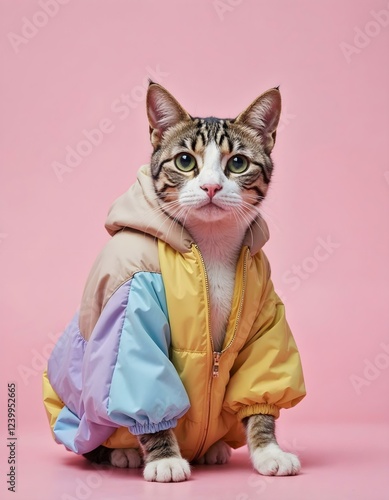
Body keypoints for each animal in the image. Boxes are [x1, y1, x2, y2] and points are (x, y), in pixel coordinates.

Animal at [80, 82, 304, 480]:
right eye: (185, 161)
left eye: (237, 163)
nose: (212, 187)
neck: (210, 246)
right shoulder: (134, 298)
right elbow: (145, 374)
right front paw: (164, 458)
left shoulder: (264, 307)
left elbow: (261, 379)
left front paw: (269, 450)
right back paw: (122, 453)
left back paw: (212, 447)